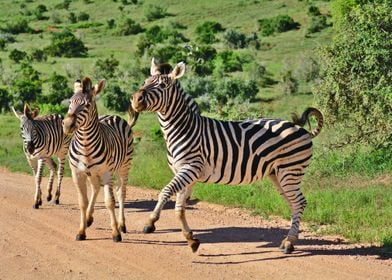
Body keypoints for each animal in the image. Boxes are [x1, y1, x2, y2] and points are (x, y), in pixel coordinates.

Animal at [63, 77, 137, 243]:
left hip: (124, 166)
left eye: (87, 105)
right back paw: (89, 218)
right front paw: (81, 231)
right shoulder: (77, 173)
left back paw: (122, 225)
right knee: (96, 188)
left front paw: (116, 233)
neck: (85, 145)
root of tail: (113, 115)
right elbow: (82, 202)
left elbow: (110, 202)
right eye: (70, 102)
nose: (67, 125)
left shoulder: (106, 173)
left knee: (121, 193)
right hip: (92, 173)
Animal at [130, 58, 324, 254]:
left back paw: (289, 242)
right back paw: (288, 240)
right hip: (277, 174)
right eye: (145, 81)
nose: (135, 99)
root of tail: (304, 131)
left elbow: (165, 192)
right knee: (294, 203)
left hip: (290, 170)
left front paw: (150, 223)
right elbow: (180, 208)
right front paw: (190, 238)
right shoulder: (186, 174)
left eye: (162, 85)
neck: (183, 129)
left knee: (299, 202)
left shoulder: (190, 168)